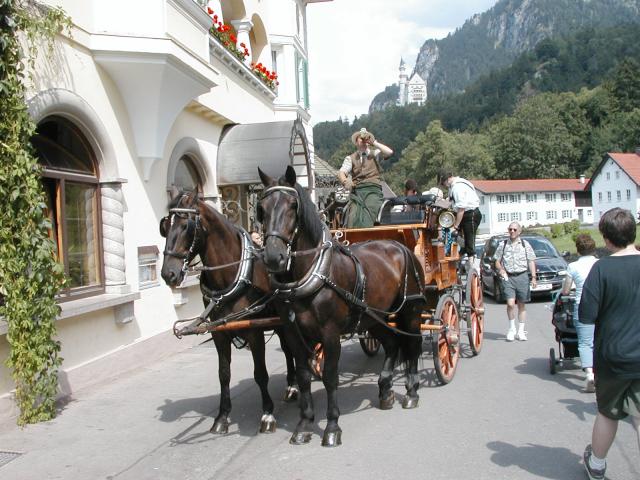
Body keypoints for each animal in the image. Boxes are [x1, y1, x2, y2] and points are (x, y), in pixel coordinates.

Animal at [161, 188, 298, 436]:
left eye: (186, 226)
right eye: (165, 226)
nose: (169, 274)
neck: (232, 275)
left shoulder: (254, 333)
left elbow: (260, 374)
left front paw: (267, 414)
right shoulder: (219, 334)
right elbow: (223, 374)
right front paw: (222, 417)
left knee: (289, 349)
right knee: (288, 349)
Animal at [258, 167, 428, 448]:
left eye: (293, 205)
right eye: (262, 209)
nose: (273, 257)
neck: (312, 273)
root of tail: (400, 246)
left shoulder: (330, 334)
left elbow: (330, 377)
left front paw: (331, 427)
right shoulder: (294, 334)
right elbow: (303, 376)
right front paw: (304, 425)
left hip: (410, 312)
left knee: (413, 344)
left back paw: (412, 392)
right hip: (373, 317)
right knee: (392, 343)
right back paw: (385, 390)